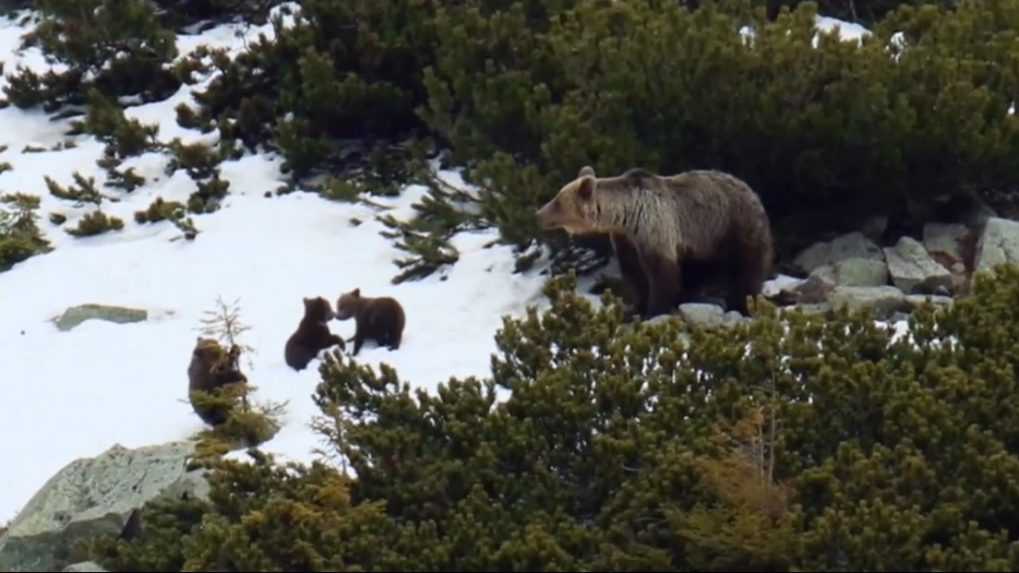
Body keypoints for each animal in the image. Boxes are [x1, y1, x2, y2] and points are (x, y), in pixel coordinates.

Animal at [533, 164, 770, 316]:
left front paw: (654, 310)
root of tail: (753, 192)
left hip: (733, 226)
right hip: (704, 242)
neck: (626, 215)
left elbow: (661, 272)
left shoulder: (655, 227)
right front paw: (634, 307)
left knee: (746, 268)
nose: (538, 214)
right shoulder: (626, 239)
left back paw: (742, 304)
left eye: (557, 201)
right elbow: (634, 273)